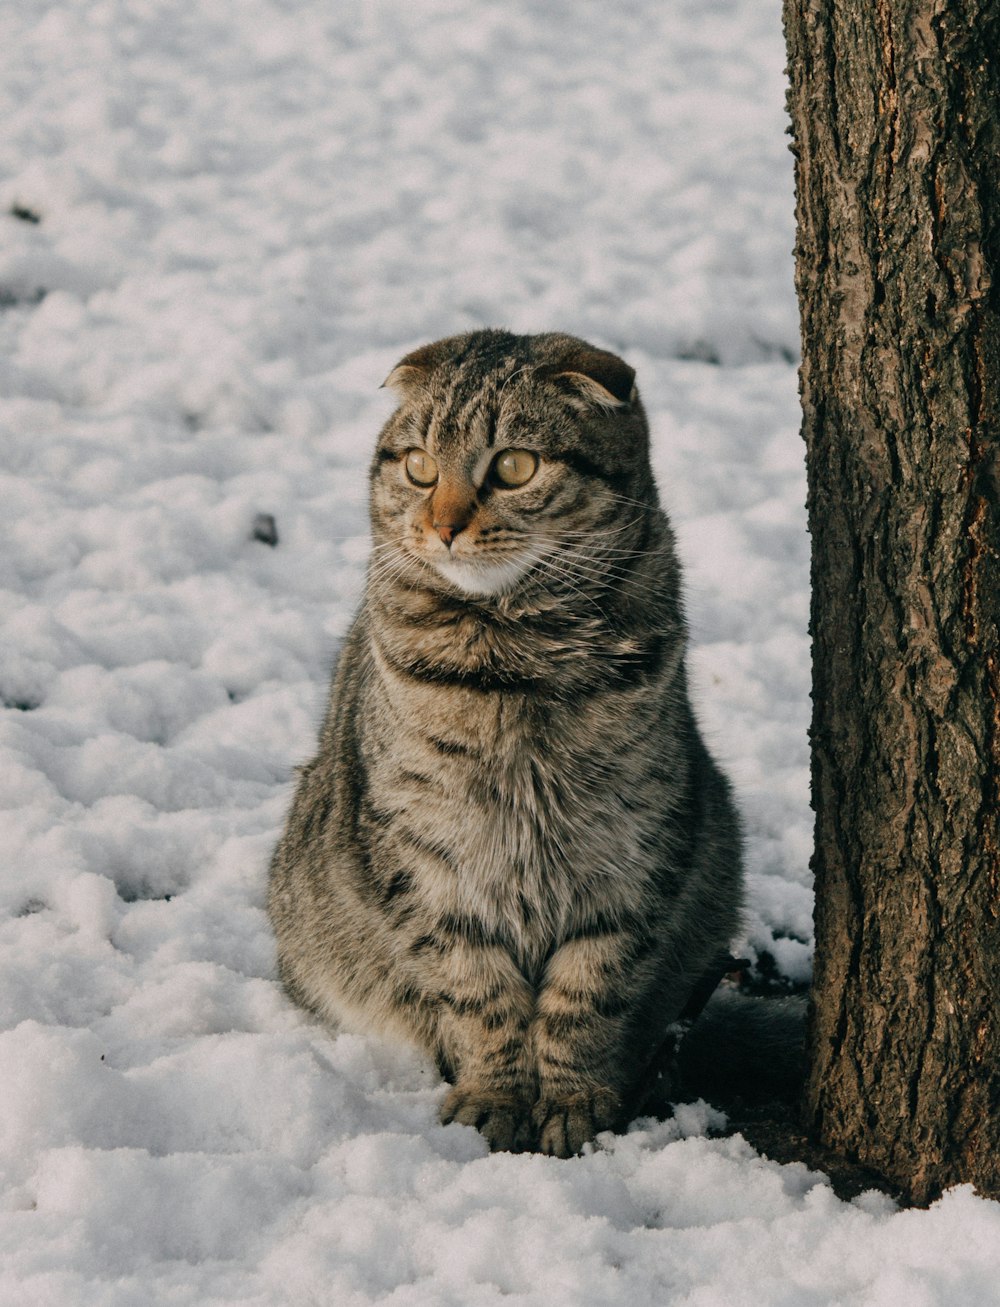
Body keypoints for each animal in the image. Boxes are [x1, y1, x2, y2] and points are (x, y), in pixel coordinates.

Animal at [269, 326, 747, 1155]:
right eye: (420, 466)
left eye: (514, 466)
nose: (443, 526)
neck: (516, 662)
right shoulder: (431, 861)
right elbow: (478, 991)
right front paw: (496, 1092)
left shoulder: (629, 849)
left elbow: (588, 990)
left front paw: (572, 1097)